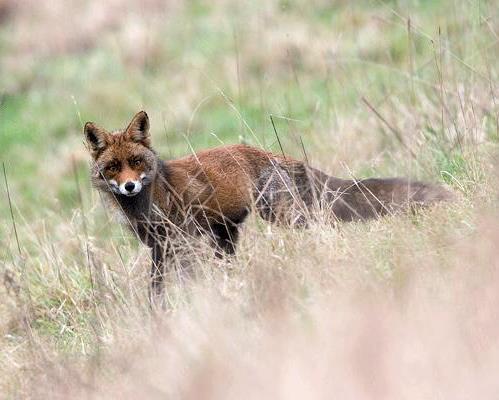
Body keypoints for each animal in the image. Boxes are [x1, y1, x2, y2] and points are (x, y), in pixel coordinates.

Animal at [85, 109, 454, 300]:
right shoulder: (158, 248)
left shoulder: (182, 243)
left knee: (327, 224)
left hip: (282, 215)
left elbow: (183, 282)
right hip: (226, 236)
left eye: (136, 161)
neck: (151, 201)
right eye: (113, 167)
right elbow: (156, 291)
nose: (129, 185)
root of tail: (269, 153)